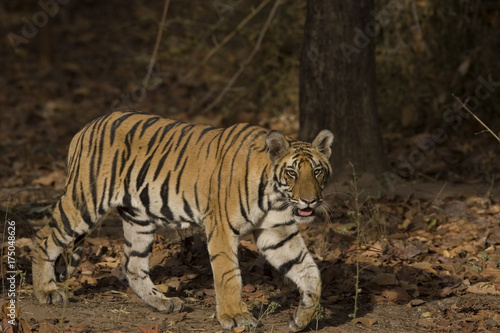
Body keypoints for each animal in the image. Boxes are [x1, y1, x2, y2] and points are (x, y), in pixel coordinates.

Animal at [33, 110, 334, 330]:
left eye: (317, 171)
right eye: (292, 173)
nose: (310, 201)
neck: (275, 196)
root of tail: (85, 128)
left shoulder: (278, 232)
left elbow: (311, 273)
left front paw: (301, 318)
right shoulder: (222, 227)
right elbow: (228, 275)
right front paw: (235, 317)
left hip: (138, 219)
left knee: (132, 264)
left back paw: (163, 303)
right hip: (85, 201)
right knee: (44, 237)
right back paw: (46, 291)